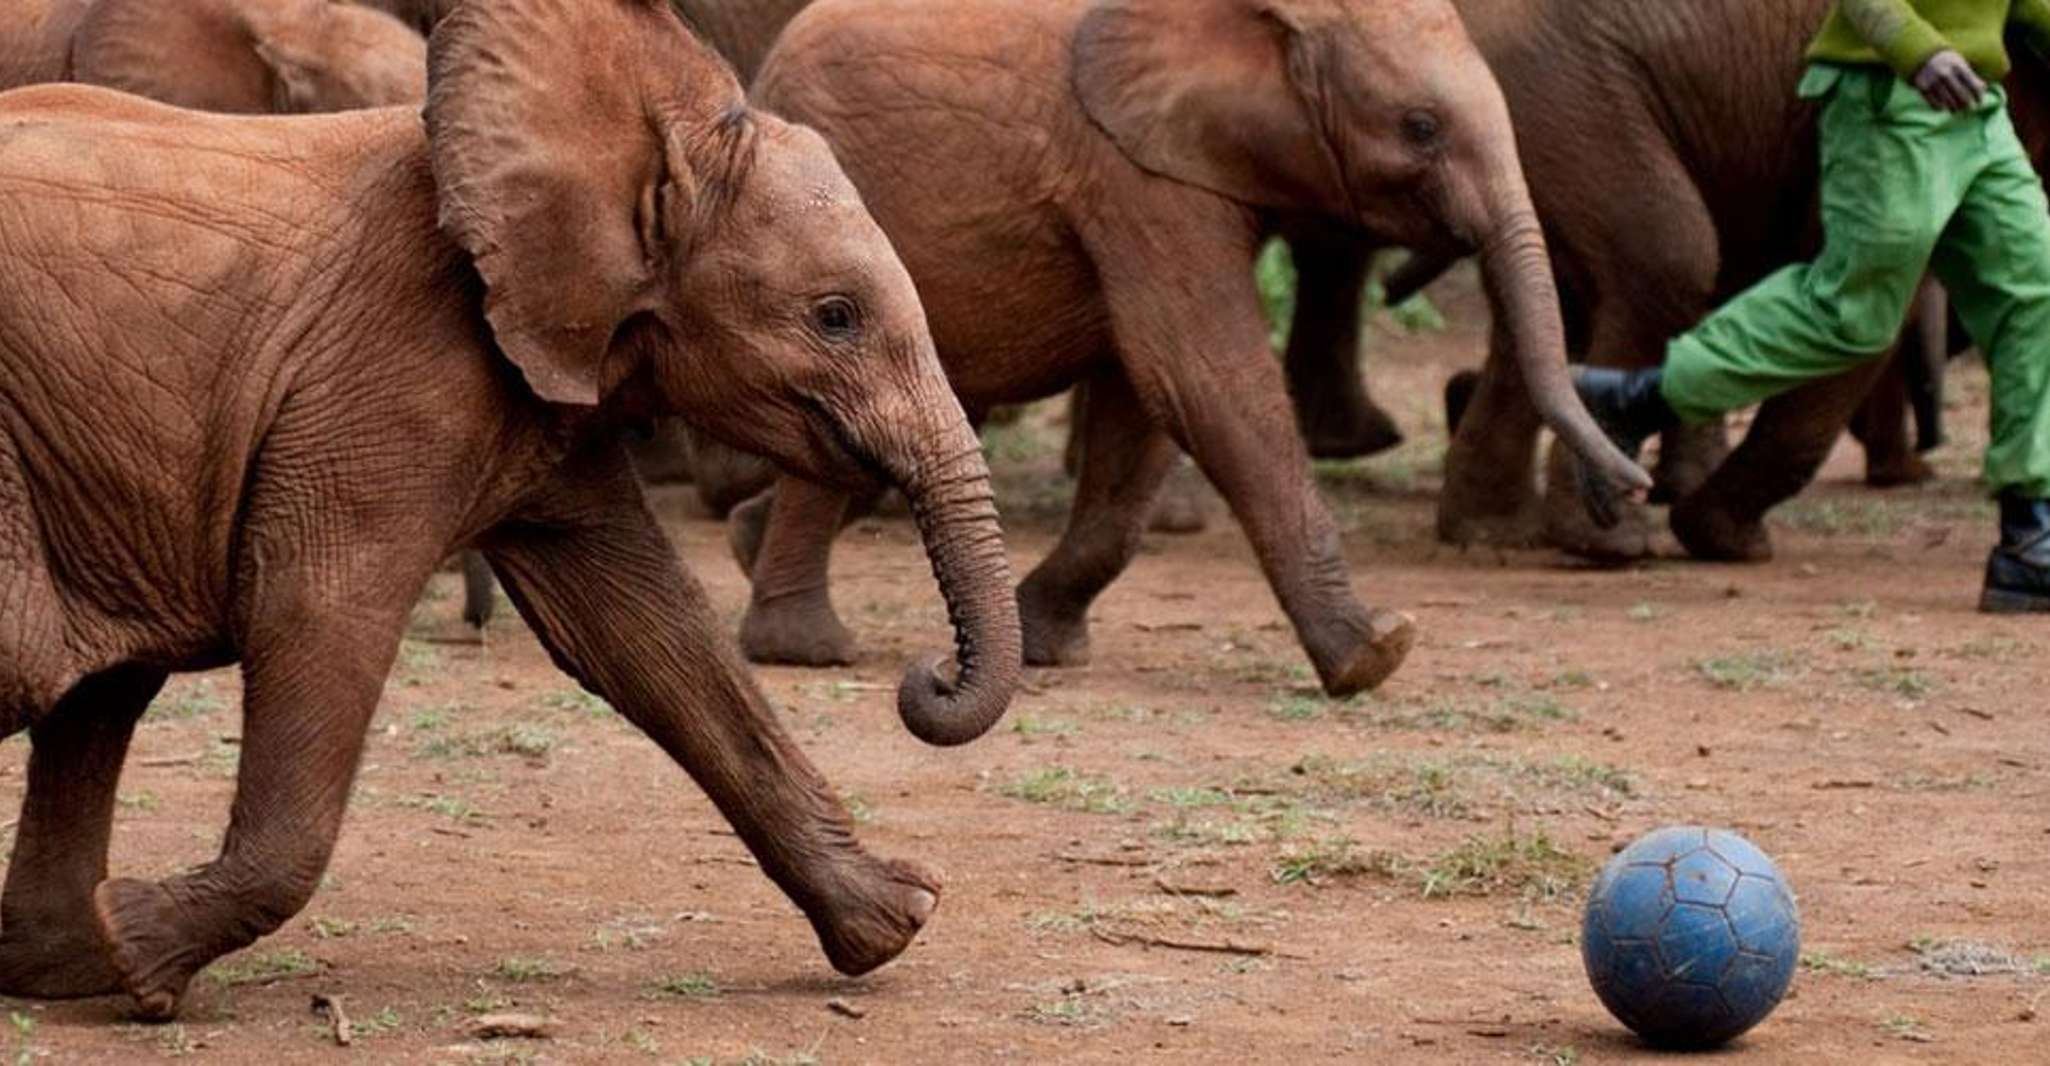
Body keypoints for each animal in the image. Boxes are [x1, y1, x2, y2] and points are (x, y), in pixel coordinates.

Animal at [719, 0, 1649, 696]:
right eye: (1420, 127)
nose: (1630, 489)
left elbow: (1143, 407)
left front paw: (1050, 646)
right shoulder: (1140, 179)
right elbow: (1201, 379)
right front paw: (1375, 653)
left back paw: (743, 544)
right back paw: (805, 647)